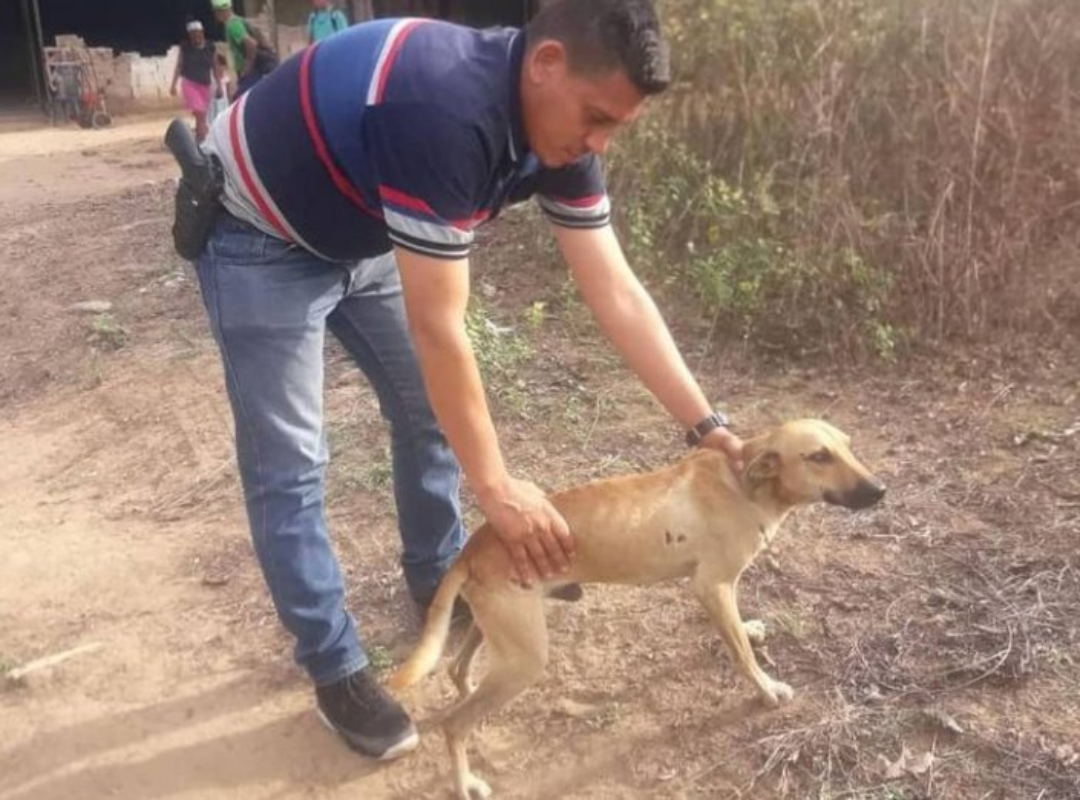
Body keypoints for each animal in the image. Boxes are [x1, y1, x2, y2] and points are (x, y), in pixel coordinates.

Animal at [388, 418, 885, 798]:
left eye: (847, 446)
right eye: (819, 456)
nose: (880, 489)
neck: (744, 483)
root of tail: (474, 545)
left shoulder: (722, 590)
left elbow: (740, 633)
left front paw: (750, 629)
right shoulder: (711, 587)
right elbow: (742, 656)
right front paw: (765, 689)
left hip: (503, 633)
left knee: (457, 670)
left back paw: (470, 695)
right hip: (525, 658)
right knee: (453, 726)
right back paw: (466, 783)